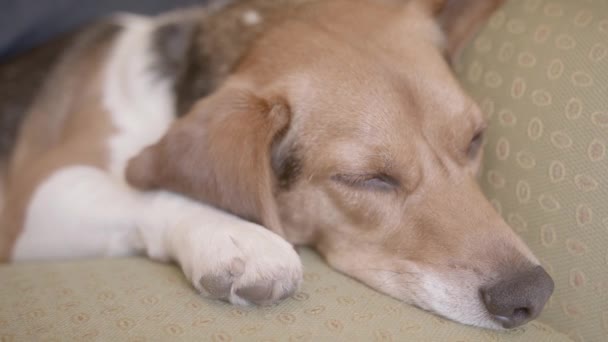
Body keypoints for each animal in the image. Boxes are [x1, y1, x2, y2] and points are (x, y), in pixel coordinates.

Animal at [1, 0, 552, 330]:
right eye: (368, 179)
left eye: (475, 139)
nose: (532, 293)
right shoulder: (31, 202)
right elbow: (145, 193)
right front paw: (234, 238)